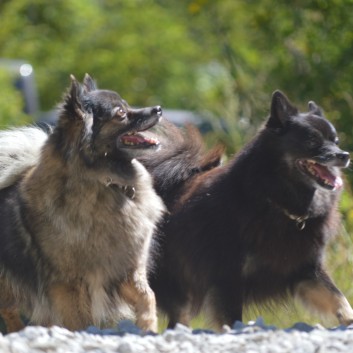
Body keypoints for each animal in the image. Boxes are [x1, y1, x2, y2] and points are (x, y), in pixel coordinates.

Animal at [142, 90, 352, 328]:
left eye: (335, 141)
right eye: (312, 140)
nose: (344, 155)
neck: (276, 202)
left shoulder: (306, 271)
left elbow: (339, 300)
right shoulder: (228, 278)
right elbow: (232, 320)